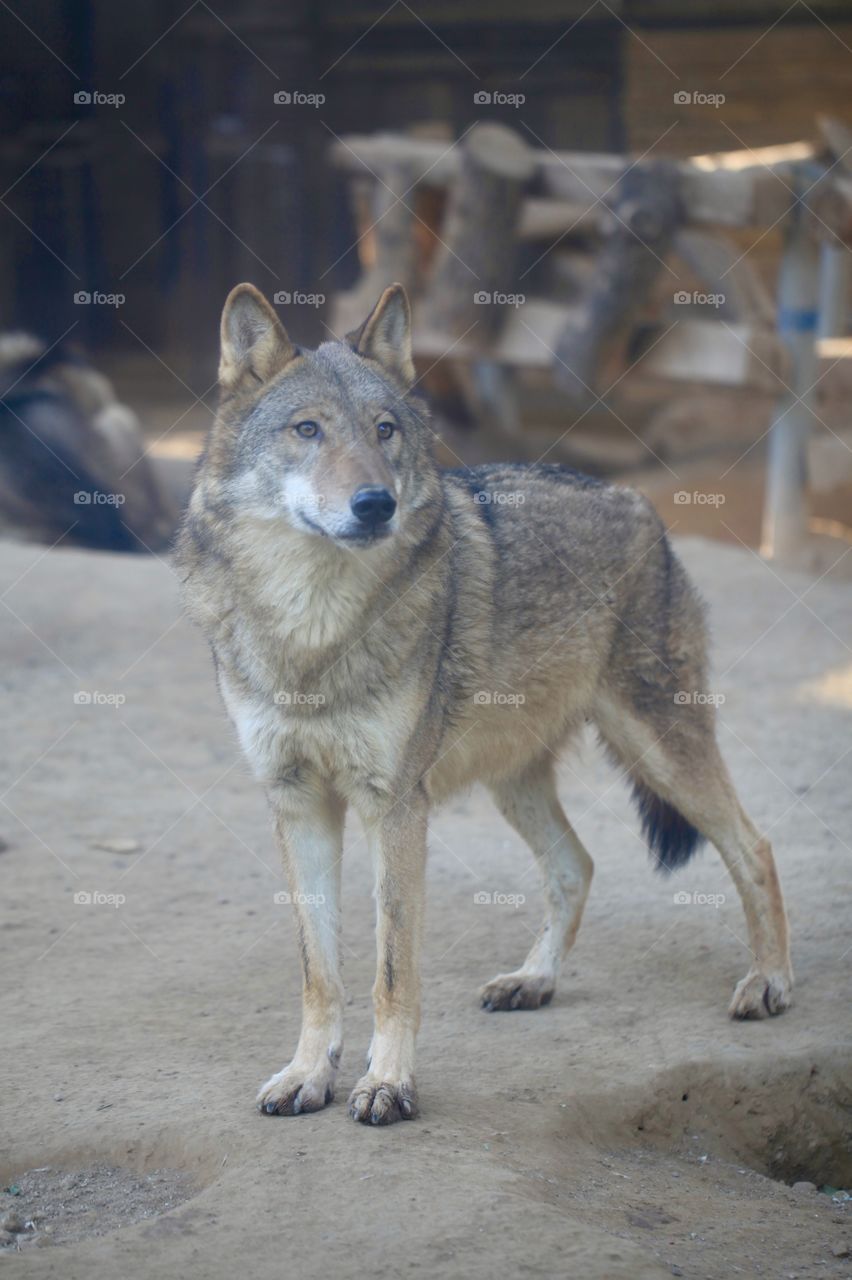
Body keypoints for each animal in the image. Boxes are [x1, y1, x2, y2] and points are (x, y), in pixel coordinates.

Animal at [175, 282, 792, 1126]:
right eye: (307, 430)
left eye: (385, 431)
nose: (376, 504)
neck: (313, 630)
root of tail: (636, 501)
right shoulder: (298, 803)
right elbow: (320, 972)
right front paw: (308, 1074)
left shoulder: (395, 806)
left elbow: (392, 970)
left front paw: (387, 1083)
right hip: (516, 778)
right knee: (577, 864)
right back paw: (535, 981)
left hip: (657, 749)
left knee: (753, 846)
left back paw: (769, 983)